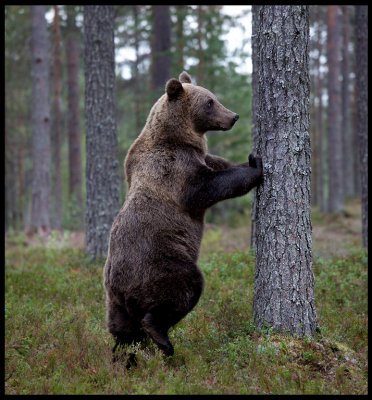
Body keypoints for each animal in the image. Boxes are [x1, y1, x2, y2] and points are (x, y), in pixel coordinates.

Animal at [103, 71, 264, 360]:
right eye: (210, 102)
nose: (233, 116)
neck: (181, 137)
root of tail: (120, 287)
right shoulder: (173, 167)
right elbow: (207, 187)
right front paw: (256, 164)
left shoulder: (200, 156)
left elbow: (222, 166)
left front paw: (248, 158)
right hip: (160, 264)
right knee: (183, 290)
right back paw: (162, 338)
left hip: (114, 302)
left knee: (123, 332)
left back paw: (124, 357)